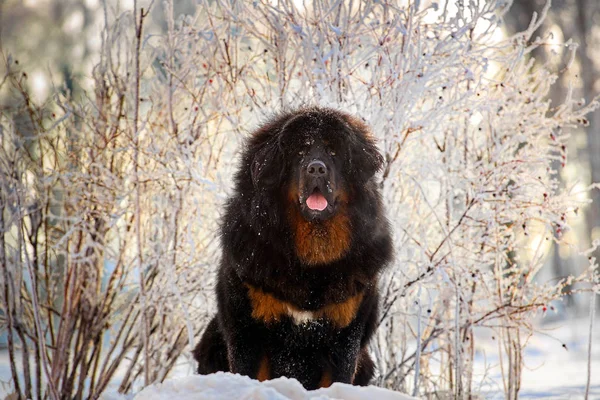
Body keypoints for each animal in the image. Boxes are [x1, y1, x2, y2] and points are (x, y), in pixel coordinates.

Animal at [193, 108, 394, 390]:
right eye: (300, 152)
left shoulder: (345, 332)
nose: (316, 168)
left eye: (334, 152)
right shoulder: (247, 330)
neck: (311, 260)